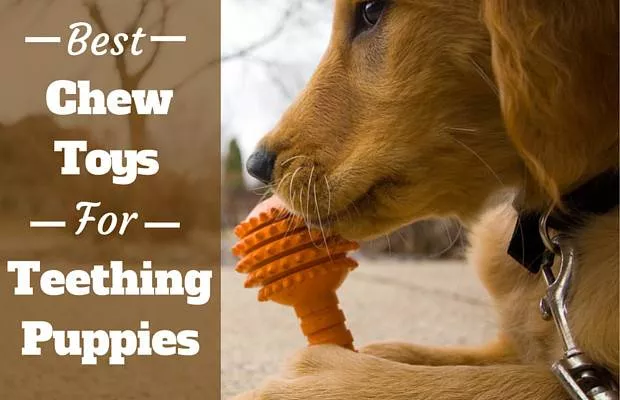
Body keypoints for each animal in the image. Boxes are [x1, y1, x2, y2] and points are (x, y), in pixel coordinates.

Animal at [235, 0, 616, 396]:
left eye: (371, 10)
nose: (256, 165)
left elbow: (496, 382)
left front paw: (324, 379)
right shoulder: (523, 348)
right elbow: (447, 357)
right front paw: (379, 352)